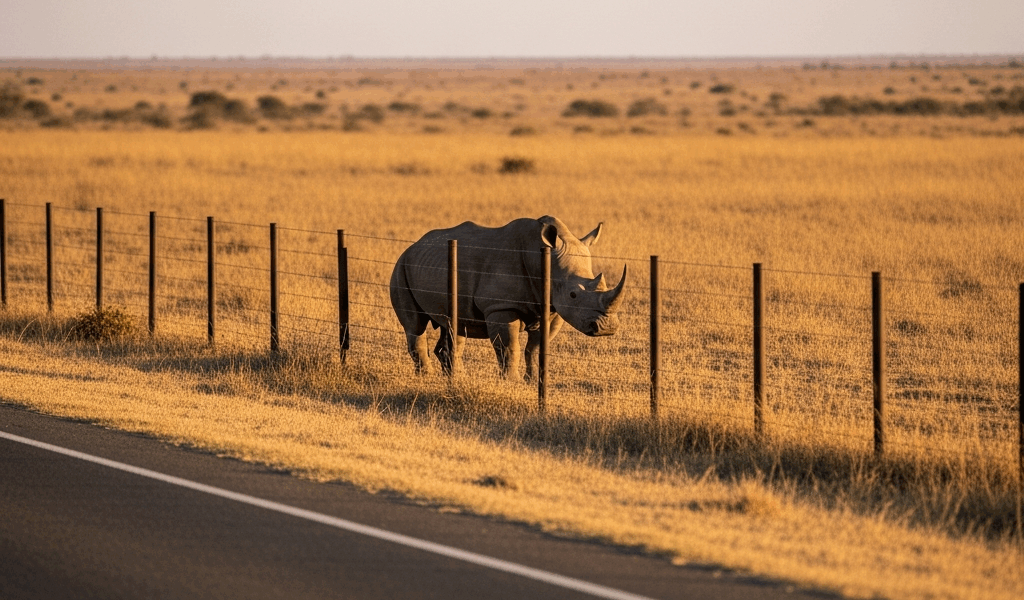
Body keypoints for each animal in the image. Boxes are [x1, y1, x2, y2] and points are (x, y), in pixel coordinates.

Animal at [389, 216, 626, 379]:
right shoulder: (501, 307)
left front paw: (534, 381)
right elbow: (509, 348)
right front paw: (513, 382)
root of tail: (413, 246)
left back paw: (457, 378)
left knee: (455, 326)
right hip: (401, 268)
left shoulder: (552, 309)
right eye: (573, 294)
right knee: (415, 326)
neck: (541, 259)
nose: (606, 328)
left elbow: (536, 348)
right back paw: (427, 378)